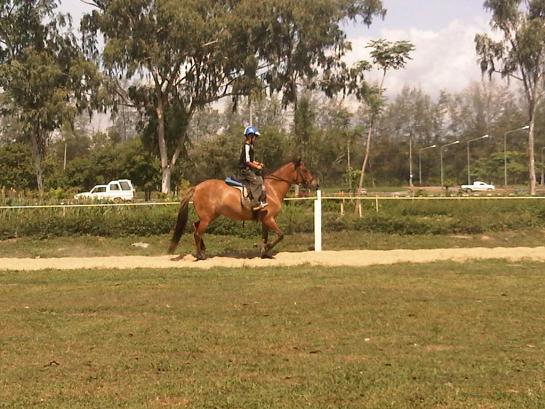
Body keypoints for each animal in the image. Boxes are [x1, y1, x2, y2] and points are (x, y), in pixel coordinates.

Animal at [168, 159, 318, 260]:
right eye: (305, 170)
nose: (316, 184)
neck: (272, 189)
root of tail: (197, 187)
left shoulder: (265, 220)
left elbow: (265, 237)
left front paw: (265, 253)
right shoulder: (269, 219)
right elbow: (280, 235)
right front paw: (266, 249)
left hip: (210, 217)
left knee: (196, 227)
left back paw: (203, 251)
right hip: (207, 218)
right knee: (198, 233)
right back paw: (200, 255)